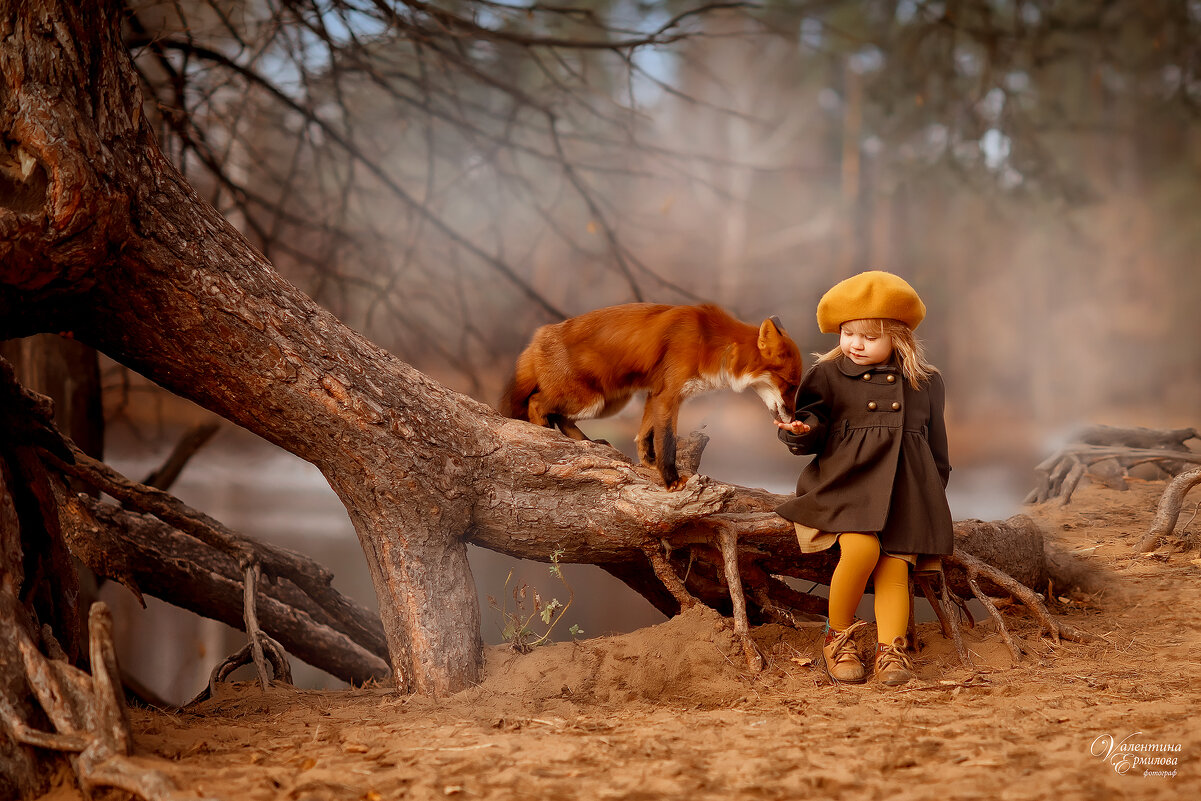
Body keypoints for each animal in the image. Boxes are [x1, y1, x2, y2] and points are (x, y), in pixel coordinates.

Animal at [502, 300, 802, 489]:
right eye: (790, 385)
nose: (793, 418)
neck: (711, 344)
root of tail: (539, 336)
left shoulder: (656, 394)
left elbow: (644, 435)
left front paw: (648, 464)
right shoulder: (668, 395)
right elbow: (666, 439)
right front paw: (671, 480)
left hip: (610, 402)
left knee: (560, 416)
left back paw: (586, 442)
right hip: (590, 399)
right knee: (537, 403)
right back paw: (543, 435)